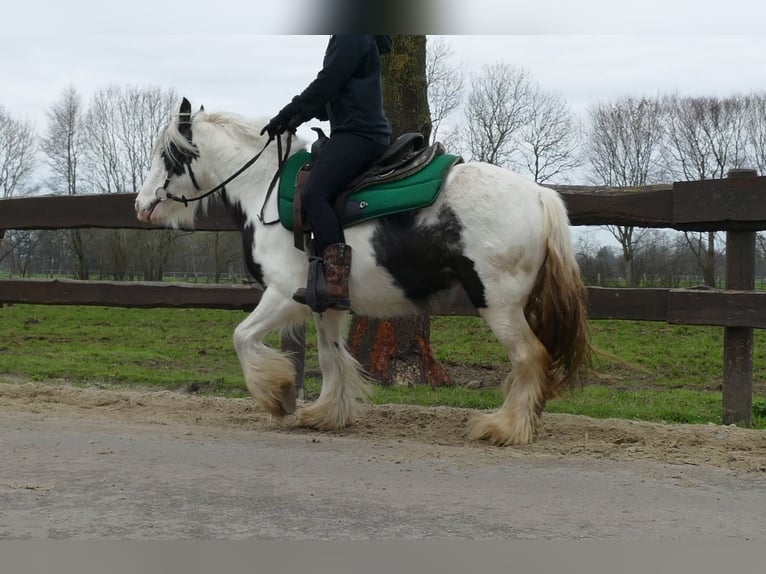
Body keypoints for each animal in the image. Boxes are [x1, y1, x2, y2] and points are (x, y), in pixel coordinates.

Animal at [135, 99, 592, 448]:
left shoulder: (283, 293)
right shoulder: (324, 301)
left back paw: (504, 428)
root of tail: (540, 195)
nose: (140, 205)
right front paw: (326, 413)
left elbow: (242, 337)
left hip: (497, 303)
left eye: (169, 156)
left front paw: (277, 396)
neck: (265, 187)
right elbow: (331, 354)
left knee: (529, 357)